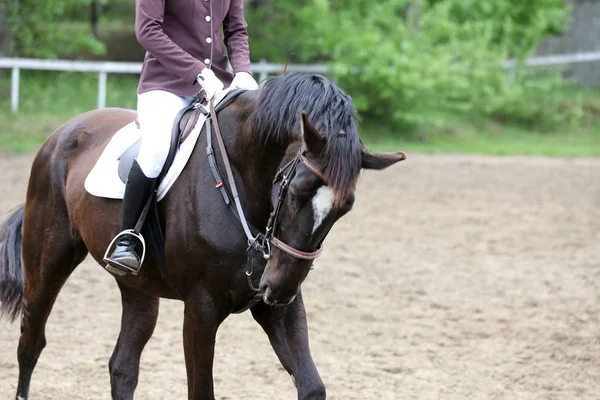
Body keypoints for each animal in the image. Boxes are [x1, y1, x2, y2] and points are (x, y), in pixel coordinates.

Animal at [0, 73, 406, 398]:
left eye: (344, 209)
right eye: (293, 192)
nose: (279, 289)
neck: (242, 180)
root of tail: (61, 133)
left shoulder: (278, 308)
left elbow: (312, 386)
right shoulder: (201, 307)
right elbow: (201, 391)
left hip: (137, 286)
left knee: (122, 366)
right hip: (48, 262)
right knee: (31, 341)